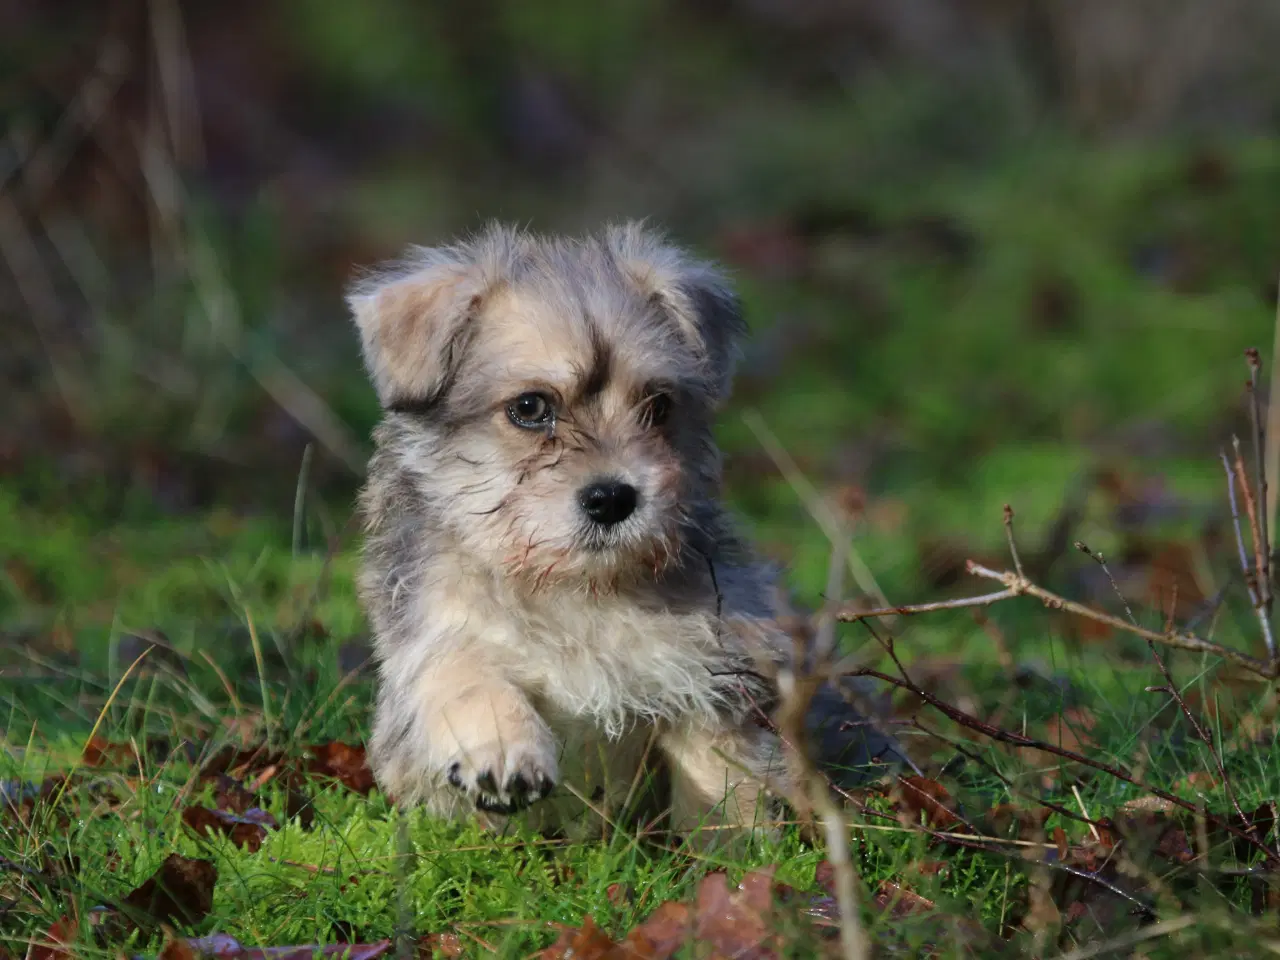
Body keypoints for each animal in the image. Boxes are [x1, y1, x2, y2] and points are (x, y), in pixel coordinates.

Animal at [350, 221, 906, 844]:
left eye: (657, 405)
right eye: (529, 407)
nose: (613, 498)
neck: (578, 592)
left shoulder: (710, 679)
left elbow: (721, 784)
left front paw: (728, 858)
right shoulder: (431, 639)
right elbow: (465, 672)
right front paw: (503, 748)